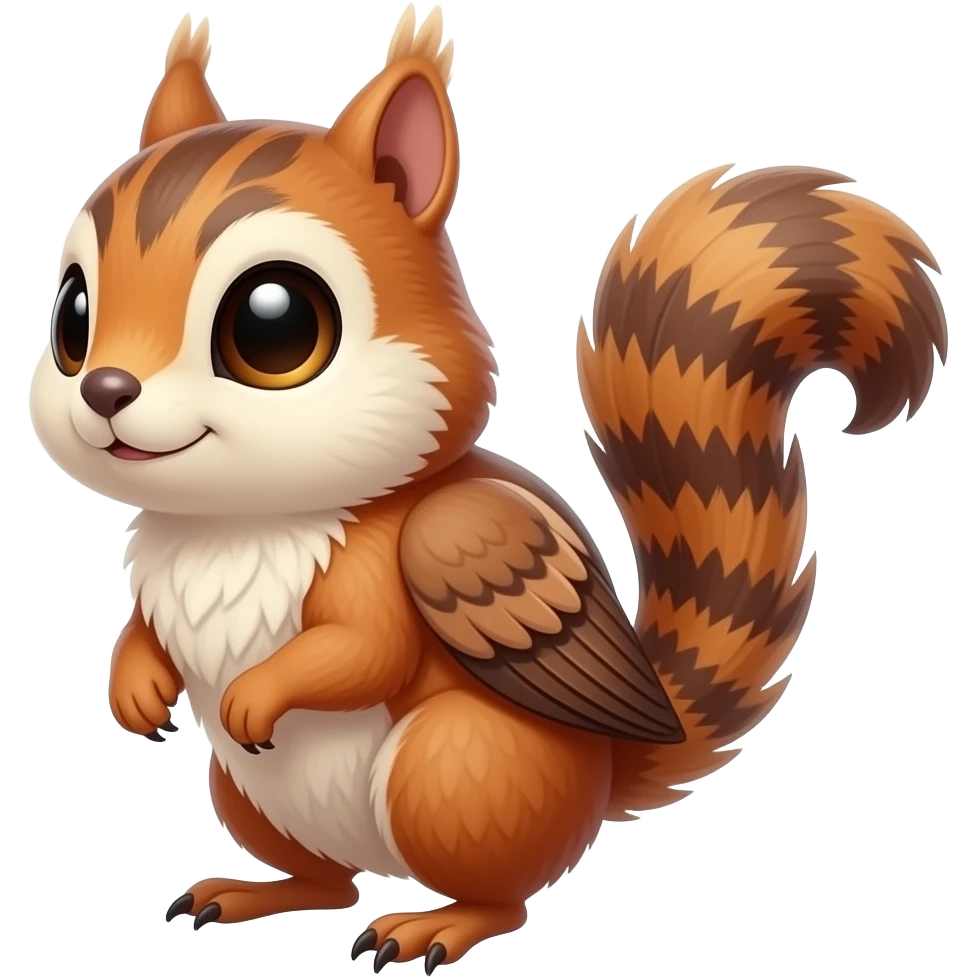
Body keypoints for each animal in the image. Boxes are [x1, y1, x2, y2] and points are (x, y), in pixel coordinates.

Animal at [29, 5, 947, 971]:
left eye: (272, 324)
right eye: (72, 316)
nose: (106, 391)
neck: (239, 521)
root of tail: (610, 765)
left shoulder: (387, 570)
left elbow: (363, 650)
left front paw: (254, 691)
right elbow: (145, 629)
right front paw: (133, 688)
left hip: (457, 769)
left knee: (496, 894)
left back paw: (435, 922)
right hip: (243, 791)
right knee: (329, 881)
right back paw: (253, 890)